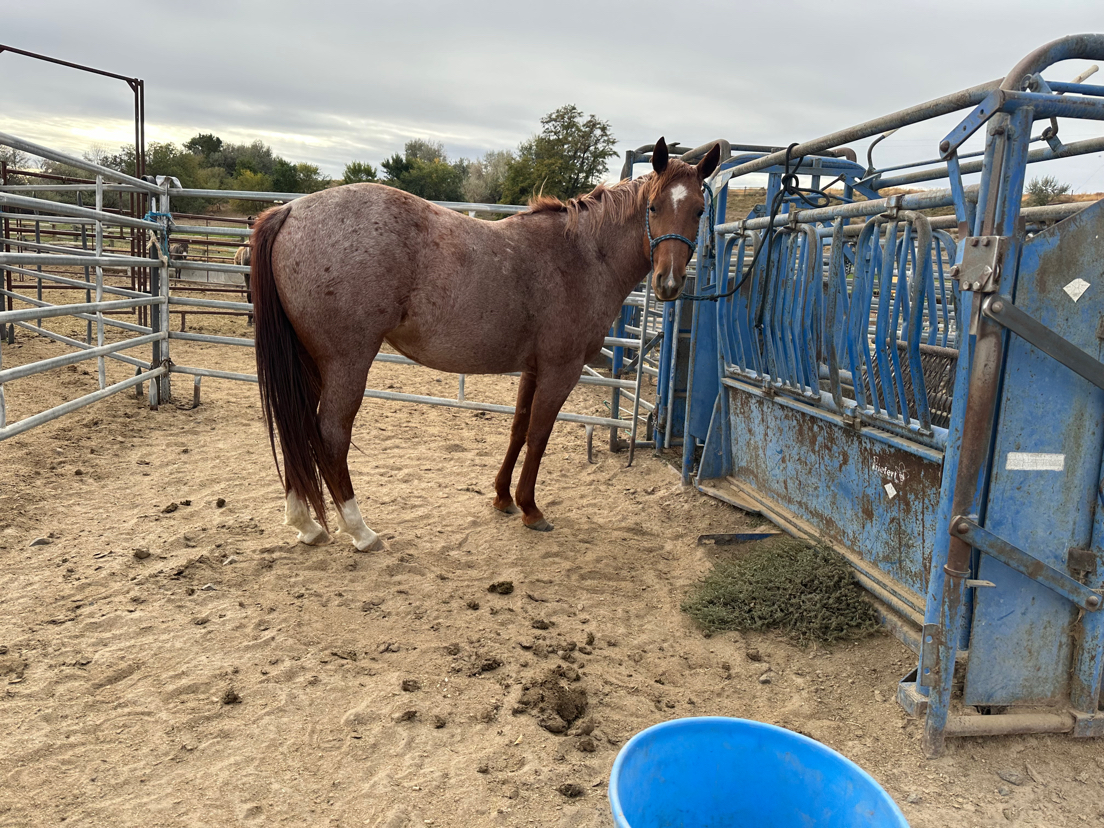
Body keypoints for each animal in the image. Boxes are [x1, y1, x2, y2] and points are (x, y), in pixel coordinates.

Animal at [249, 137, 719, 551]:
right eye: (654, 207)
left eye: (699, 210)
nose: (669, 283)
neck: (582, 257)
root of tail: (290, 210)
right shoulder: (561, 369)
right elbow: (540, 433)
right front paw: (531, 508)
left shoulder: (533, 368)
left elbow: (518, 429)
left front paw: (503, 498)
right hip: (347, 362)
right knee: (330, 434)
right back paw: (360, 530)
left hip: (307, 360)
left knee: (296, 427)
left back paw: (306, 524)